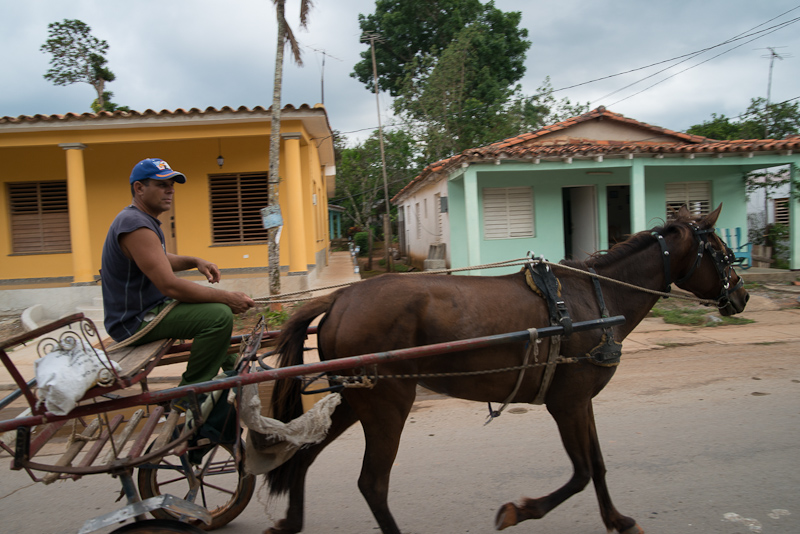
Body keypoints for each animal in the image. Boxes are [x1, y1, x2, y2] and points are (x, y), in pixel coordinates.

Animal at [256, 203, 752, 532]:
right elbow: (581, 471)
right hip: (386, 403)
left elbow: (598, 464)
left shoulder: (579, 400)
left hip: (358, 398)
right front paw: (521, 510)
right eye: (723, 252)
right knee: (373, 484)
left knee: (306, 453)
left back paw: (291, 521)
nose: (742, 295)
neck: (596, 300)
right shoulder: (566, 403)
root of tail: (340, 297)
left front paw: (617, 519)